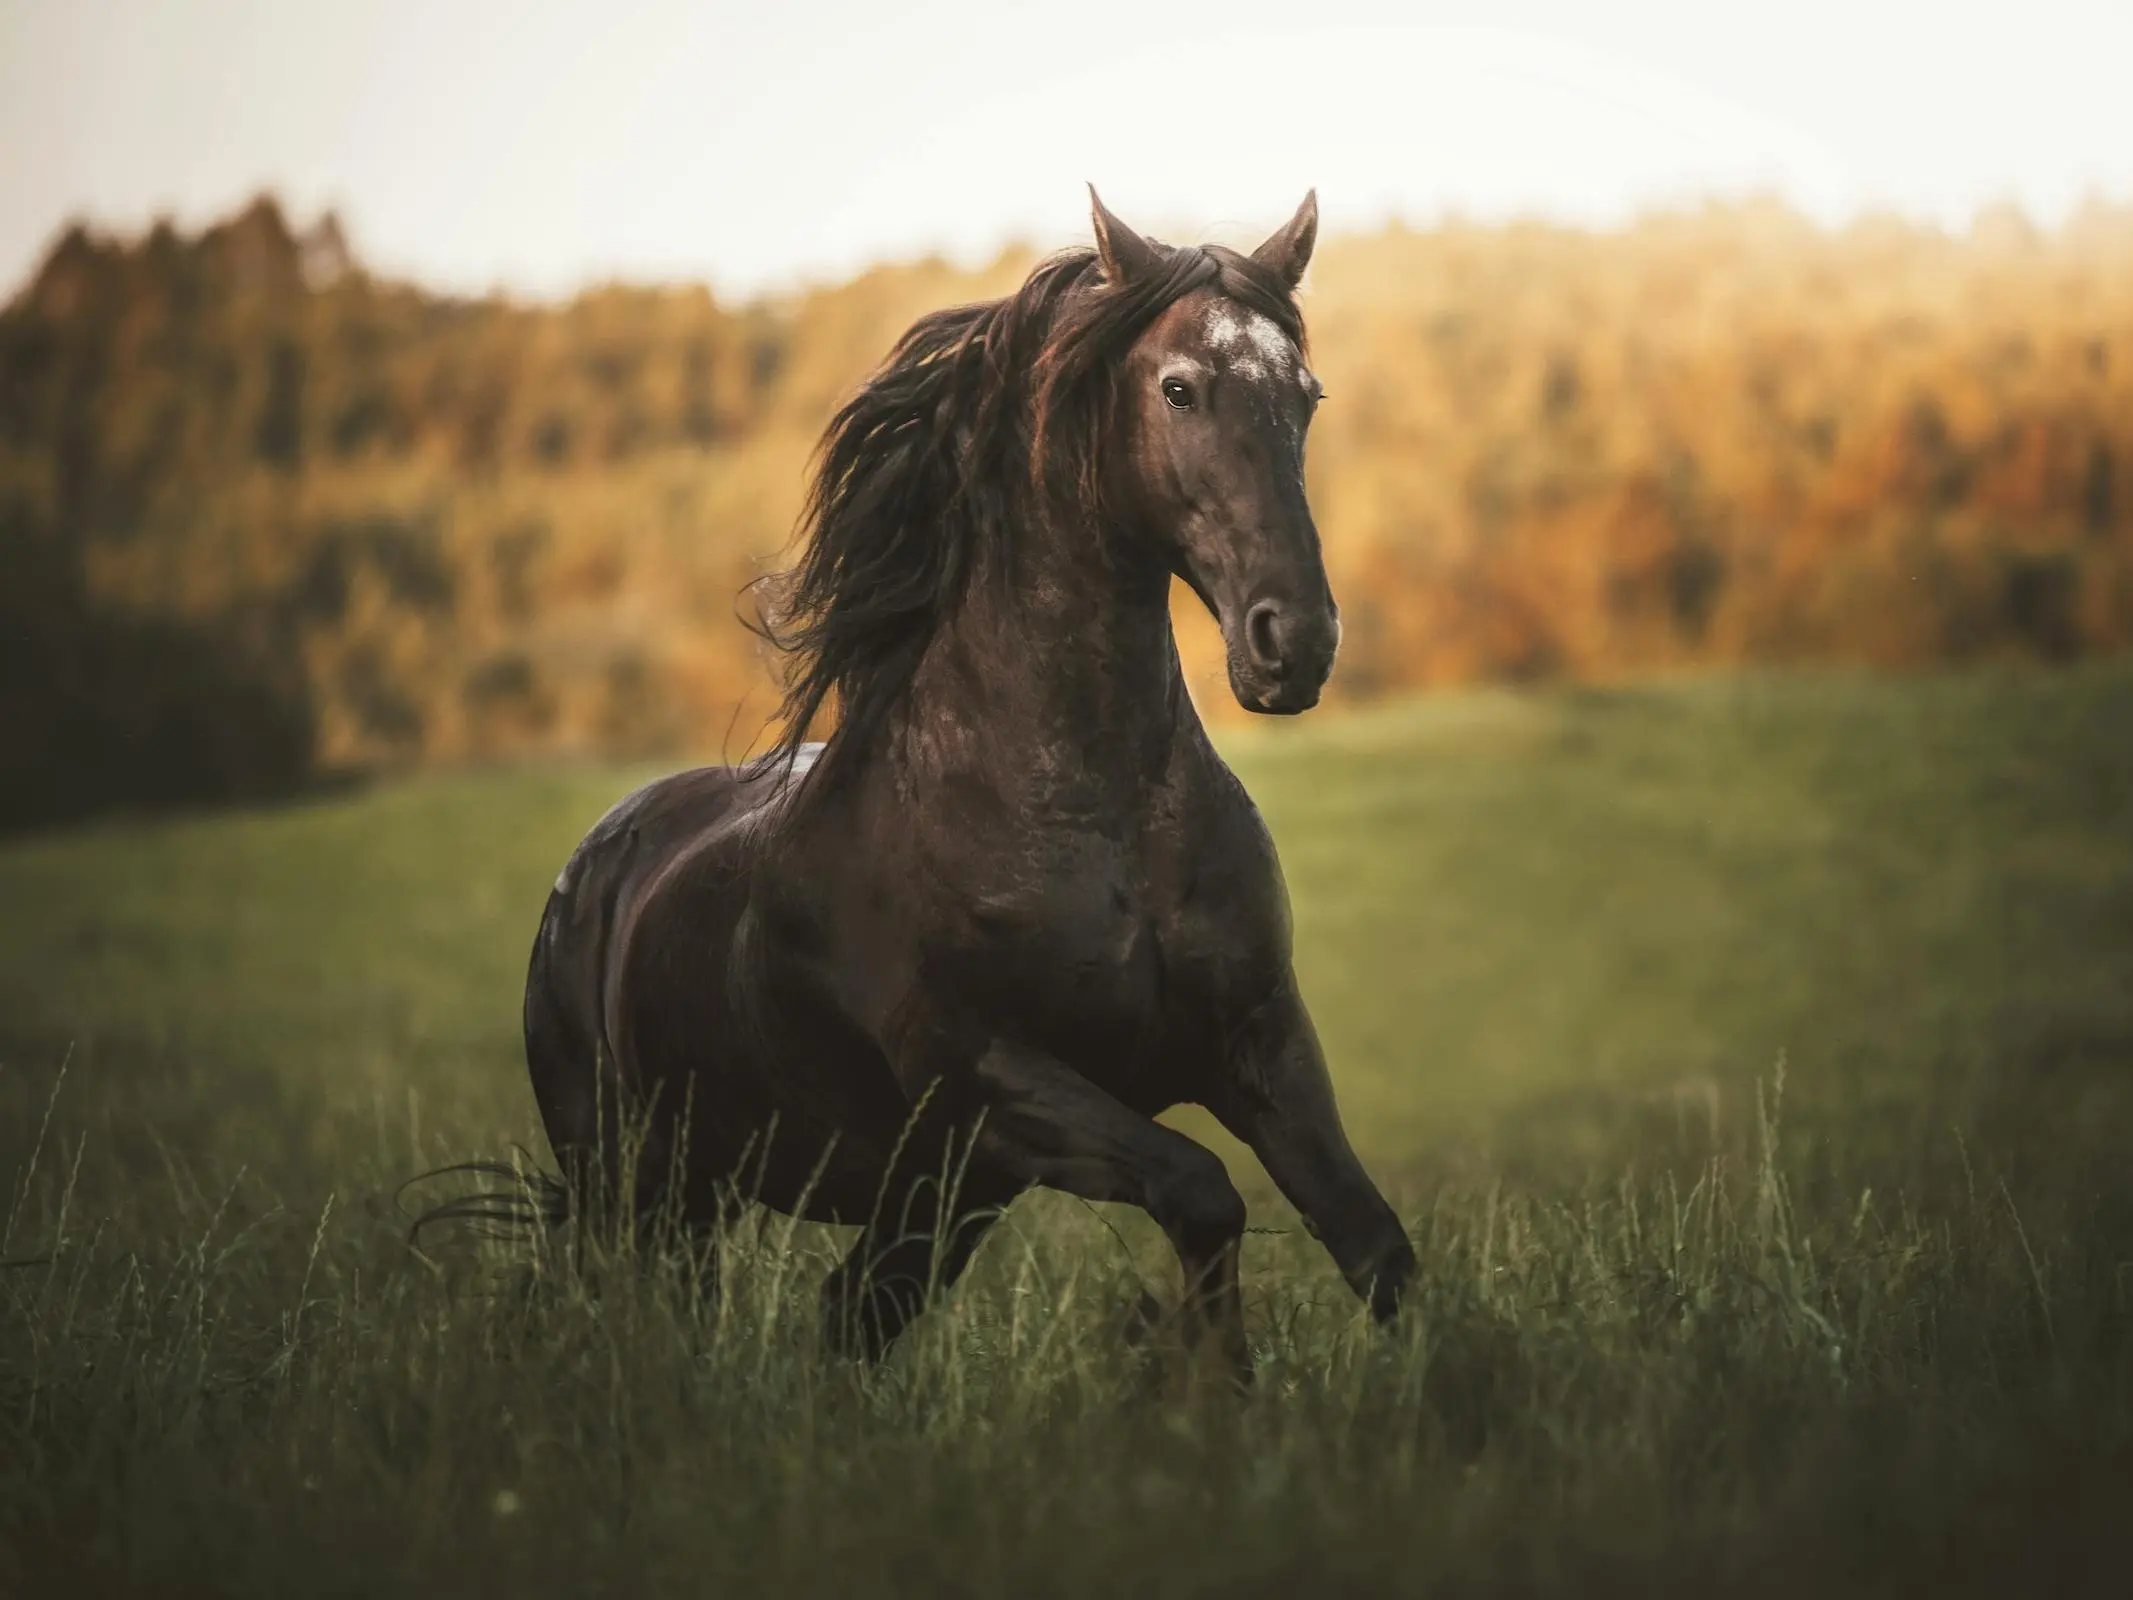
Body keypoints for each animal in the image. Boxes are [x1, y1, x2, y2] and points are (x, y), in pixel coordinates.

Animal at [518, 187, 1416, 1382]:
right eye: (1179, 388)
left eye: (1305, 397)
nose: (1296, 642)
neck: (1093, 819)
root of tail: (590, 869)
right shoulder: (990, 1080)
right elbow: (1204, 1195)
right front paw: (1201, 1386)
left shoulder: (1258, 1041)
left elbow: (1372, 1243)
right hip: (641, 1184)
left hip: (922, 1204)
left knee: (846, 1315)